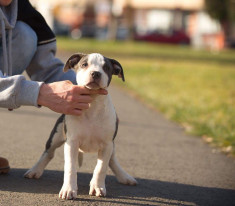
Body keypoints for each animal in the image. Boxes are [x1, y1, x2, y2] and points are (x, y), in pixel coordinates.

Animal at [23, 52, 137, 200]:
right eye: (84, 64)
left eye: (106, 68)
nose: (95, 73)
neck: (92, 103)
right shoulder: (71, 143)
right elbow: (71, 167)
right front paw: (69, 189)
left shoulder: (107, 145)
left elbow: (101, 167)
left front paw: (97, 186)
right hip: (56, 135)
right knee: (48, 153)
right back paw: (35, 170)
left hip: (112, 145)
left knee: (112, 160)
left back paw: (124, 177)